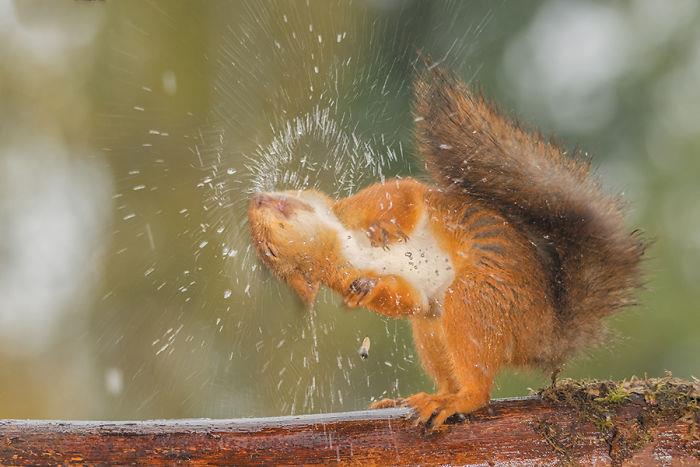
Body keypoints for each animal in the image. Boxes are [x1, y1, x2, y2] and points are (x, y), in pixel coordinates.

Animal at [246, 67, 644, 430]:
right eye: (270, 253)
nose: (255, 199)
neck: (341, 244)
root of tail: (541, 333)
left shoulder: (368, 204)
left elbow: (405, 197)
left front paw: (383, 230)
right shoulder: (349, 275)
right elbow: (407, 299)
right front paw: (364, 292)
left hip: (477, 297)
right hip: (444, 322)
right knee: (468, 382)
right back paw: (437, 398)